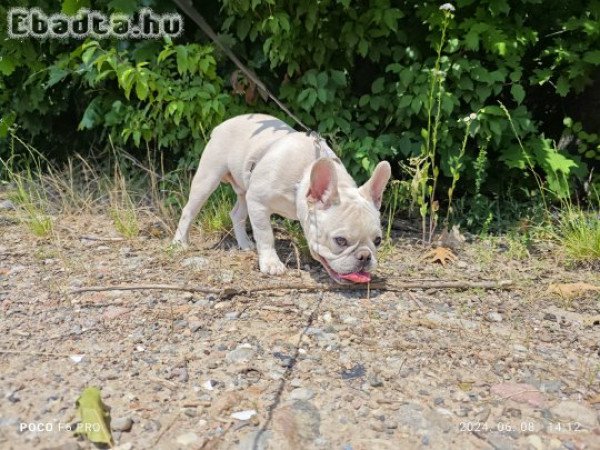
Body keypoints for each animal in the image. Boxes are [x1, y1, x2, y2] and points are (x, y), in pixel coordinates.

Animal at [173, 113, 392, 282]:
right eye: (340, 241)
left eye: (378, 240)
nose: (365, 256)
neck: (302, 177)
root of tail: (222, 125)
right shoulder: (258, 202)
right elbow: (265, 235)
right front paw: (271, 263)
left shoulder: (254, 198)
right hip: (208, 178)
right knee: (189, 211)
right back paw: (179, 243)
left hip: (246, 191)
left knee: (237, 214)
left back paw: (245, 244)